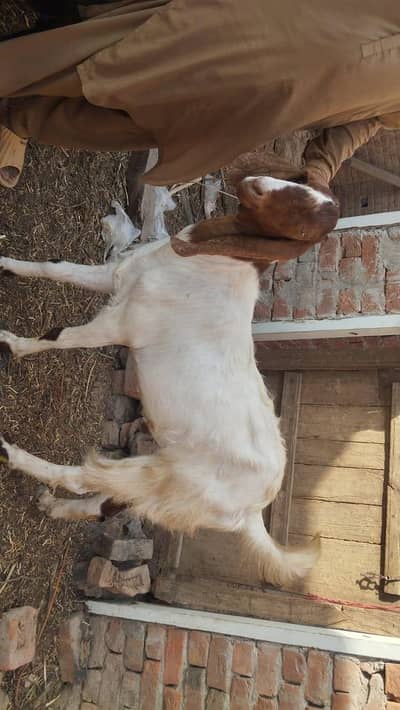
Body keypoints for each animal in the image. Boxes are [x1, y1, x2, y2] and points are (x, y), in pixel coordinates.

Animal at [0, 170, 339, 587]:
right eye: (301, 181)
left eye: (302, 223)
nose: (254, 183)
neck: (208, 265)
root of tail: (253, 509)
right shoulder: (118, 276)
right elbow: (56, 267)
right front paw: (5, 264)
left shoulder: (123, 324)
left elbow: (58, 336)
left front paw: (9, 343)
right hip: (162, 475)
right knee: (106, 503)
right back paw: (51, 506)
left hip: (167, 477)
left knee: (87, 478)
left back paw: (9, 451)